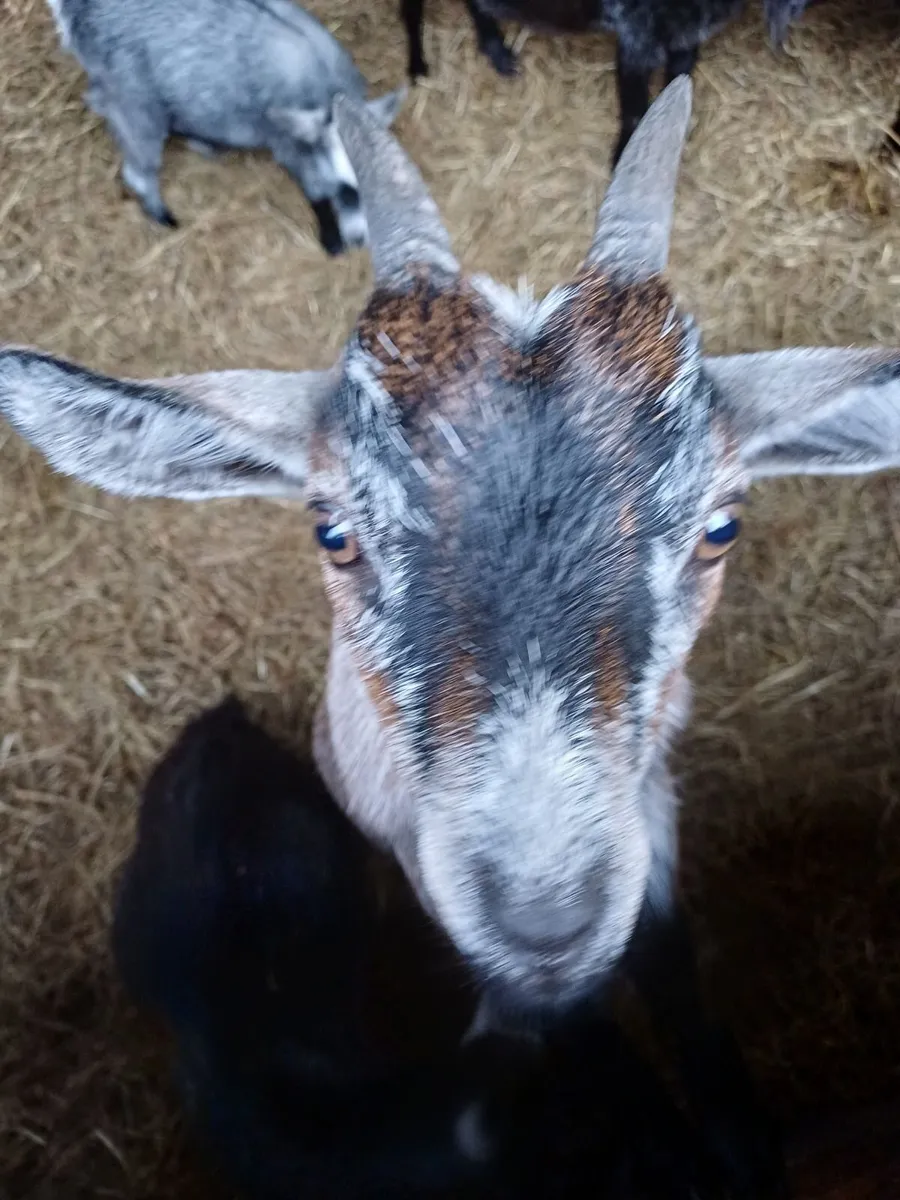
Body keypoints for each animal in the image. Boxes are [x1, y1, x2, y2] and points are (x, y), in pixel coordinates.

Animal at [46, 0, 404, 253]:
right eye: (343, 191)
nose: (360, 239)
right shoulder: (289, 143)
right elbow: (313, 187)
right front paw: (331, 240)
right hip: (135, 98)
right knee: (136, 162)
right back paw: (161, 211)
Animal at [399, 0, 743, 161]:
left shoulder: (686, 39)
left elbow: (678, 86)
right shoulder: (635, 40)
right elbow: (634, 111)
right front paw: (624, 158)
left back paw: (497, 52)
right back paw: (418, 67)